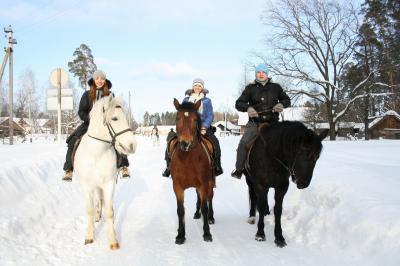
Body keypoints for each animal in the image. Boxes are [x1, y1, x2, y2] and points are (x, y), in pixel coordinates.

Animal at [74, 95, 138, 249]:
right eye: (114, 118)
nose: (132, 145)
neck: (96, 153)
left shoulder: (109, 183)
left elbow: (108, 211)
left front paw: (113, 240)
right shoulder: (87, 186)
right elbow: (90, 210)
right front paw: (89, 237)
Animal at [170, 98, 216, 245]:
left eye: (195, 119)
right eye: (177, 118)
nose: (186, 143)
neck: (187, 158)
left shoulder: (204, 184)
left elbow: (205, 207)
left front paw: (207, 233)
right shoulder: (177, 186)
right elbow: (180, 210)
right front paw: (180, 234)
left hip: (210, 182)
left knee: (209, 198)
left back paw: (211, 218)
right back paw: (196, 213)